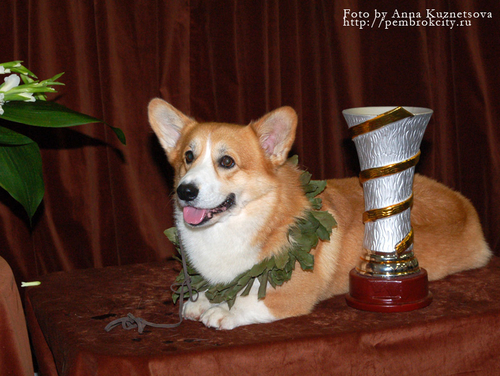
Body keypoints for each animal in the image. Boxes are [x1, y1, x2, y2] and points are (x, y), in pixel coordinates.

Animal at [148, 98, 492, 330]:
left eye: (227, 162)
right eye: (188, 157)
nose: (185, 191)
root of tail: (465, 205)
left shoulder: (294, 293)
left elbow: (256, 299)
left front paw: (224, 311)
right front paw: (203, 300)